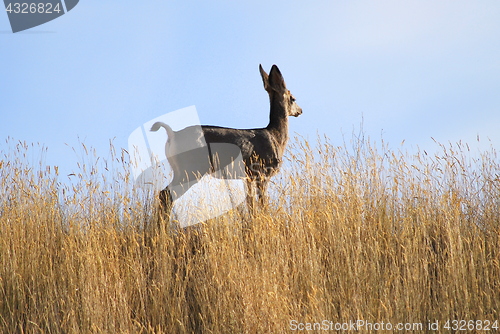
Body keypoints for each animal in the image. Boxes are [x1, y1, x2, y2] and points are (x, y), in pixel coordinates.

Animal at [150, 64, 302, 222]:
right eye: (293, 98)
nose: (300, 110)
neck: (276, 137)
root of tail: (172, 133)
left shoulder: (248, 176)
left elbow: (250, 205)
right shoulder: (262, 172)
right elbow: (262, 203)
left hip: (180, 169)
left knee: (164, 194)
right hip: (191, 168)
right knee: (166, 194)